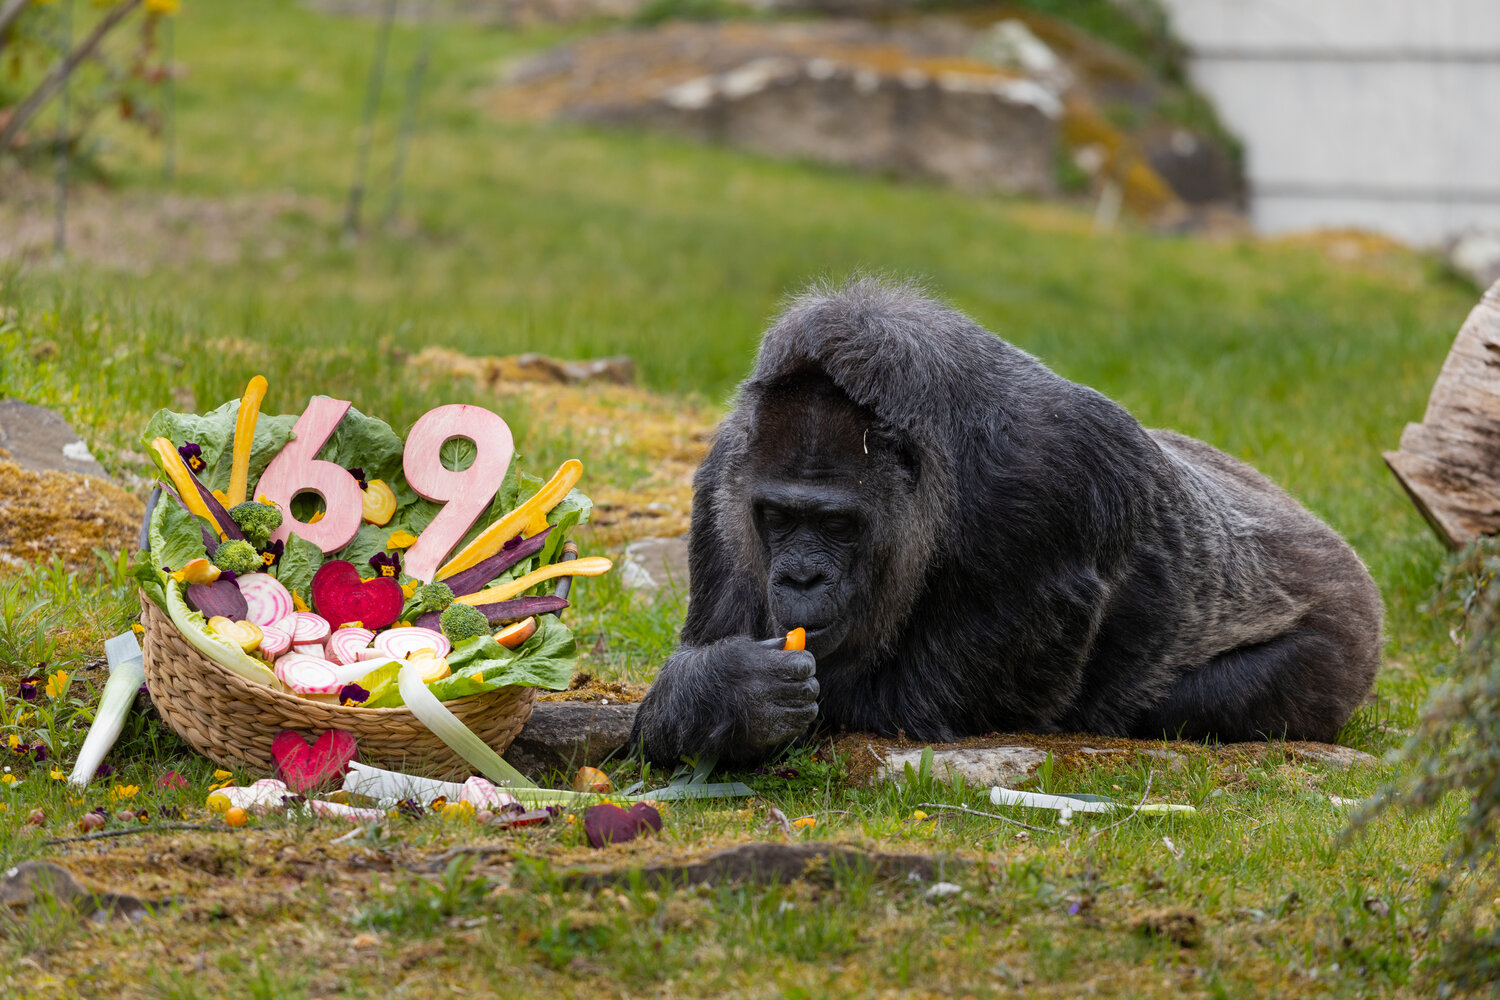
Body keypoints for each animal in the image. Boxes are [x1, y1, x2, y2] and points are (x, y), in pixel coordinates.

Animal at [629, 278, 1383, 765]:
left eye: (839, 526)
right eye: (779, 517)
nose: (802, 578)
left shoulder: (1045, 488)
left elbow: (906, 705)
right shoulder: (724, 476)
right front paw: (723, 693)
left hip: (1348, 641)